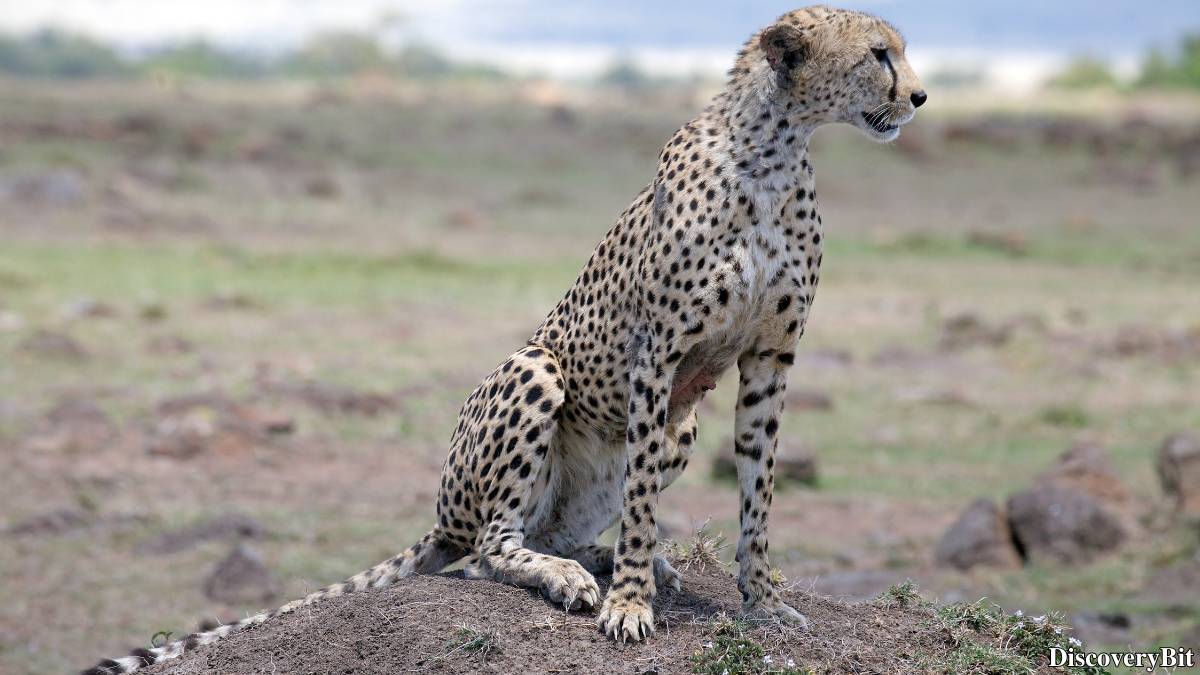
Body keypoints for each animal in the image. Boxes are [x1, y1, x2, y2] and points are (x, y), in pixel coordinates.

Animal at [83, 5, 924, 672]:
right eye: (879, 53)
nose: (917, 95)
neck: (775, 149)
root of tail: (443, 513)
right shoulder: (657, 349)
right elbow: (642, 501)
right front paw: (628, 604)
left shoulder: (771, 355)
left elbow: (758, 491)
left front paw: (760, 599)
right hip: (535, 371)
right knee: (488, 547)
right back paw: (573, 577)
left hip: (674, 427)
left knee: (549, 528)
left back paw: (608, 559)